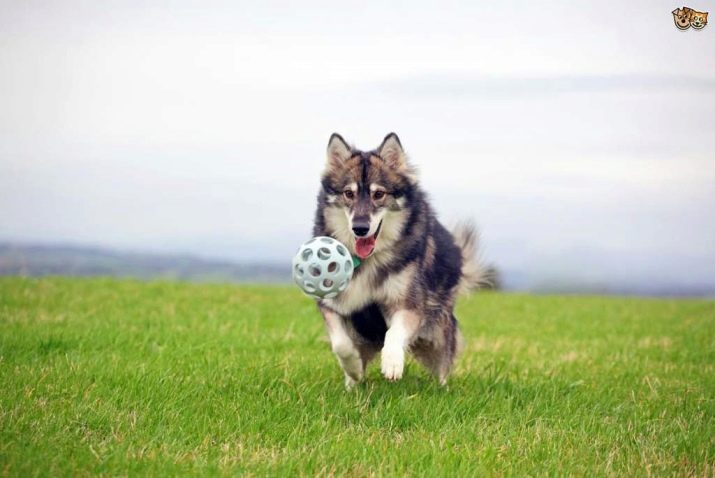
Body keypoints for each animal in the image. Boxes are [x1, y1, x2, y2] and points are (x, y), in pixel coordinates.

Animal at [310, 133, 484, 386]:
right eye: (348, 193)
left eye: (379, 194)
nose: (360, 228)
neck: (368, 260)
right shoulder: (331, 303)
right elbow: (341, 344)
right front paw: (353, 368)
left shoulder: (408, 304)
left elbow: (394, 332)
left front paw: (392, 362)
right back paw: (352, 383)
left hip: (437, 335)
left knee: (443, 365)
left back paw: (442, 388)